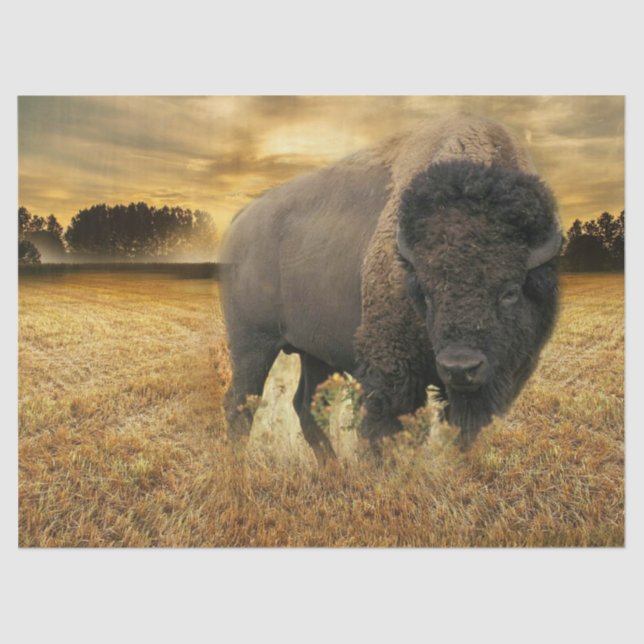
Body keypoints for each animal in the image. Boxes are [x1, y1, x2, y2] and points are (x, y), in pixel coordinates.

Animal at [219, 113, 562, 463]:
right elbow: (386, 431)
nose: (460, 367)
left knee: (306, 406)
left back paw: (332, 467)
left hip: (314, 353)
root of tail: (239, 221)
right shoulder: (392, 372)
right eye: (425, 292)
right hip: (252, 343)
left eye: (510, 291)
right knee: (241, 404)